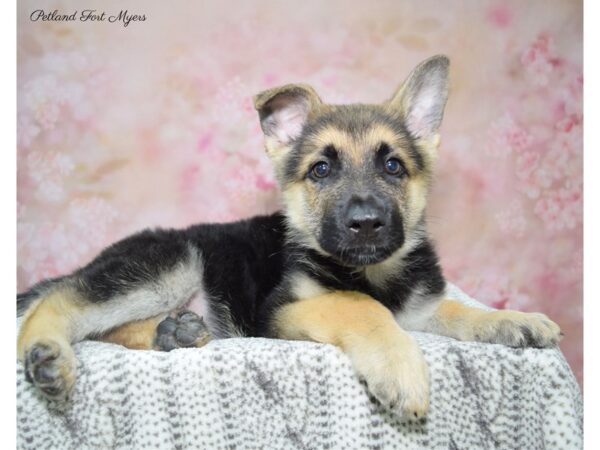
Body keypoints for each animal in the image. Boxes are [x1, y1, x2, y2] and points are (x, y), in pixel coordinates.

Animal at [17, 56, 564, 418]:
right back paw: (46, 354)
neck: (371, 271)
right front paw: (398, 365)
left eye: (393, 166)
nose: (366, 222)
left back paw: (172, 333)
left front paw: (513, 319)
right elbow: (358, 305)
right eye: (321, 169)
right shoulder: (281, 311)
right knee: (60, 303)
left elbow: (456, 309)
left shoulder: (420, 306)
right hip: (171, 263)